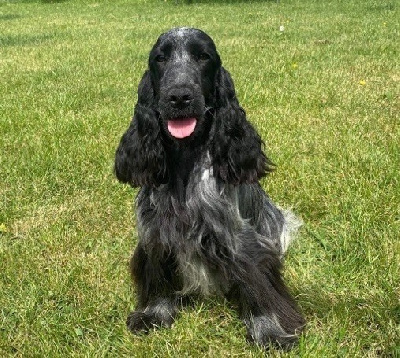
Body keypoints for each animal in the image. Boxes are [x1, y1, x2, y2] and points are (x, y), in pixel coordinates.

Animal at [114, 27, 304, 350]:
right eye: (160, 58)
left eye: (203, 57)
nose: (179, 96)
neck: (186, 159)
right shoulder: (155, 233)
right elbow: (157, 274)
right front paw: (153, 314)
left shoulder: (241, 240)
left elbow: (258, 284)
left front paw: (270, 331)